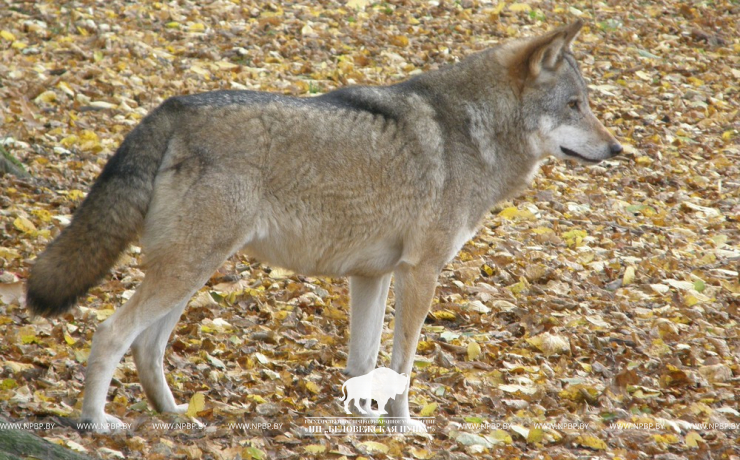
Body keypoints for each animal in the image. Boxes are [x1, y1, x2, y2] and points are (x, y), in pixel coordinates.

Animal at [26, 21, 620, 432]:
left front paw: (363, 424)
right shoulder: (420, 272)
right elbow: (404, 367)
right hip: (189, 267)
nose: (617, 149)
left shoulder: (373, 276)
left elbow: (363, 363)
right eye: (574, 105)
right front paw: (404, 428)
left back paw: (177, 418)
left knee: (148, 348)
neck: (473, 133)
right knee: (110, 332)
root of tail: (172, 107)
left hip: (195, 269)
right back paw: (95, 422)